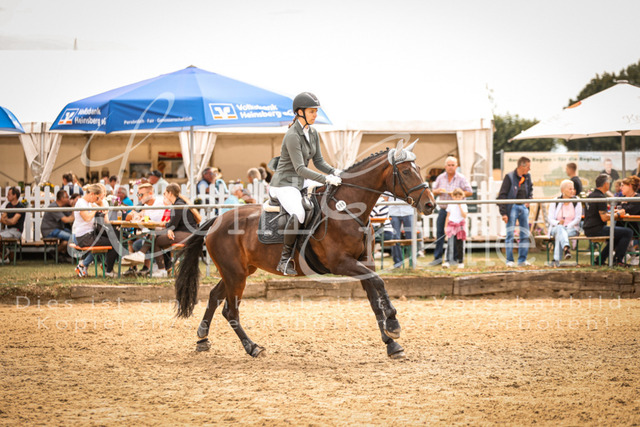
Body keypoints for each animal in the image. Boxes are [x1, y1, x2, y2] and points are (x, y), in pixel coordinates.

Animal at [175, 139, 435, 359]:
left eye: (418, 168)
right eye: (406, 171)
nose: (430, 205)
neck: (347, 210)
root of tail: (216, 220)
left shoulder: (365, 262)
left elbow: (374, 300)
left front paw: (391, 344)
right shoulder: (343, 264)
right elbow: (380, 283)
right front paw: (394, 325)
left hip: (239, 271)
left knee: (213, 298)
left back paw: (202, 339)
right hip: (235, 274)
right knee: (230, 311)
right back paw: (252, 347)